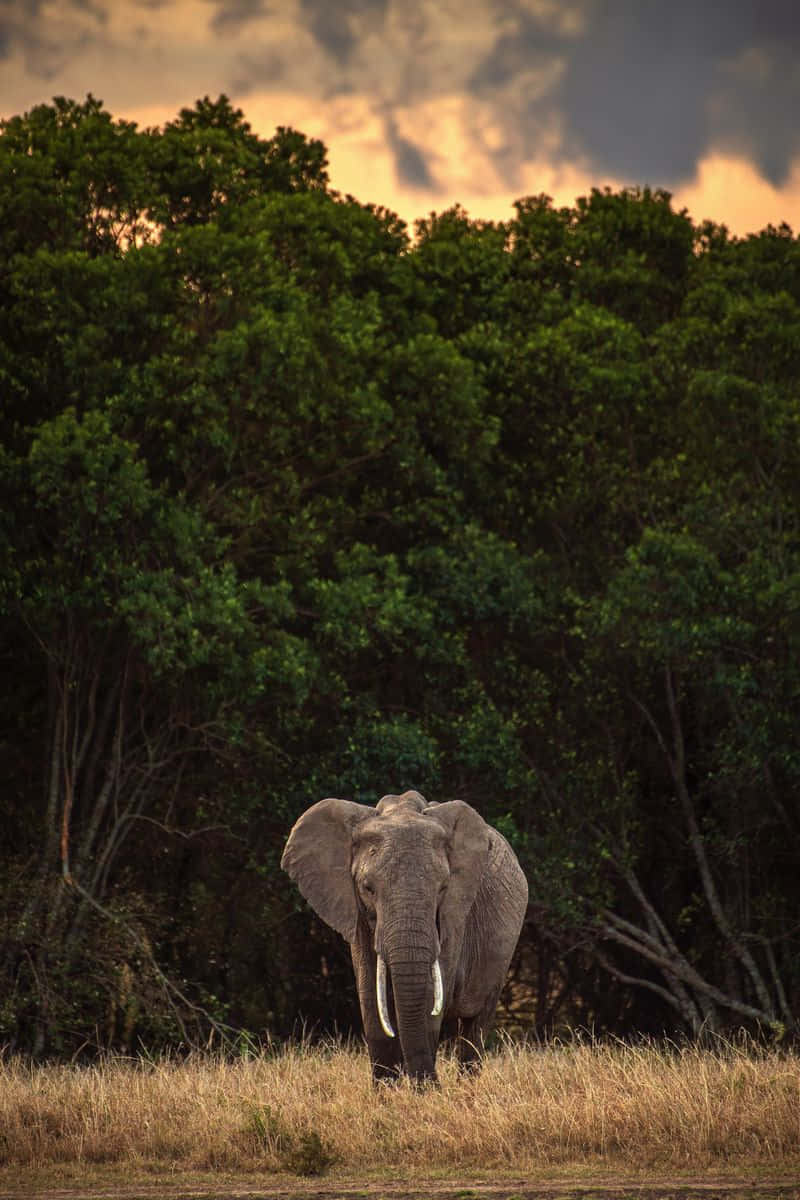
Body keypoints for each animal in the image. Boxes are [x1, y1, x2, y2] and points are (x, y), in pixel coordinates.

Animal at [281, 789, 528, 1084]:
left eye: (443, 888)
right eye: (367, 888)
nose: (432, 1085)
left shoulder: (453, 918)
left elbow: (429, 999)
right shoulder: (358, 915)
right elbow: (370, 999)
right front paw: (387, 1092)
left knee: (476, 1025)